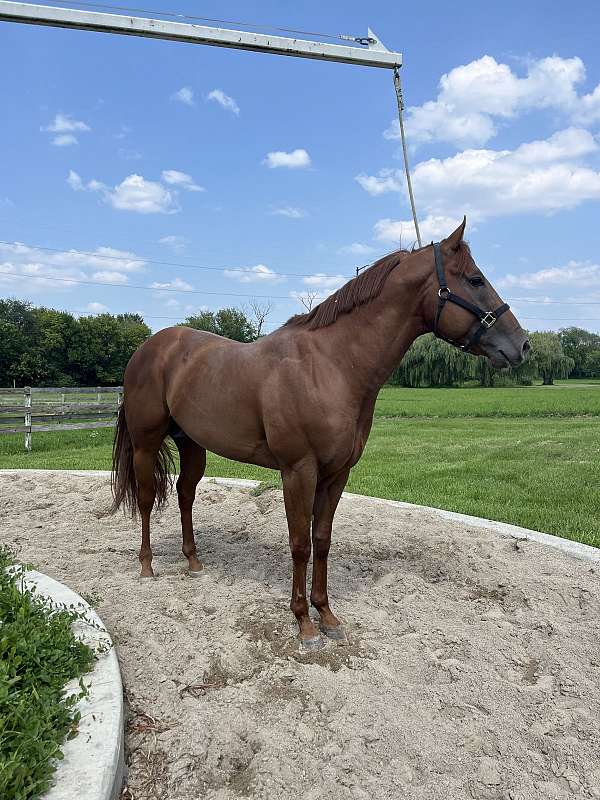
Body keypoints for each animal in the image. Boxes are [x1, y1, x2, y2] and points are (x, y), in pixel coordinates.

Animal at [111, 219, 529, 650]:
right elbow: (300, 544)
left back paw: (194, 561)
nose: (522, 345)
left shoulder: (337, 473)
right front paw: (303, 623)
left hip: (192, 443)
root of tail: (149, 347)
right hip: (146, 443)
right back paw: (147, 567)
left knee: (185, 494)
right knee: (146, 499)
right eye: (476, 280)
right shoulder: (298, 471)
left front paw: (326, 615)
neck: (331, 366)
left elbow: (323, 540)